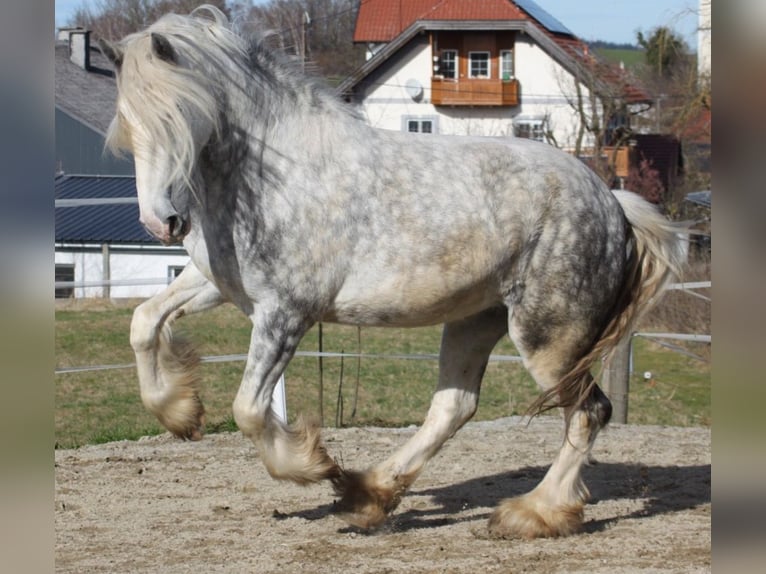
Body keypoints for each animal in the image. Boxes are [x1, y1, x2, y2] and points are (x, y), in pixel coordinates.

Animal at [103, 5, 688, 540]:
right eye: (128, 123)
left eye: (181, 114)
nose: (162, 222)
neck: (277, 173)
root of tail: (613, 204)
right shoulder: (219, 285)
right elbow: (143, 322)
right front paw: (181, 413)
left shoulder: (286, 311)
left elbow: (248, 408)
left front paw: (310, 462)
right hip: (476, 321)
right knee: (454, 407)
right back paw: (369, 494)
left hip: (549, 338)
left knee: (589, 411)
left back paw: (533, 513)